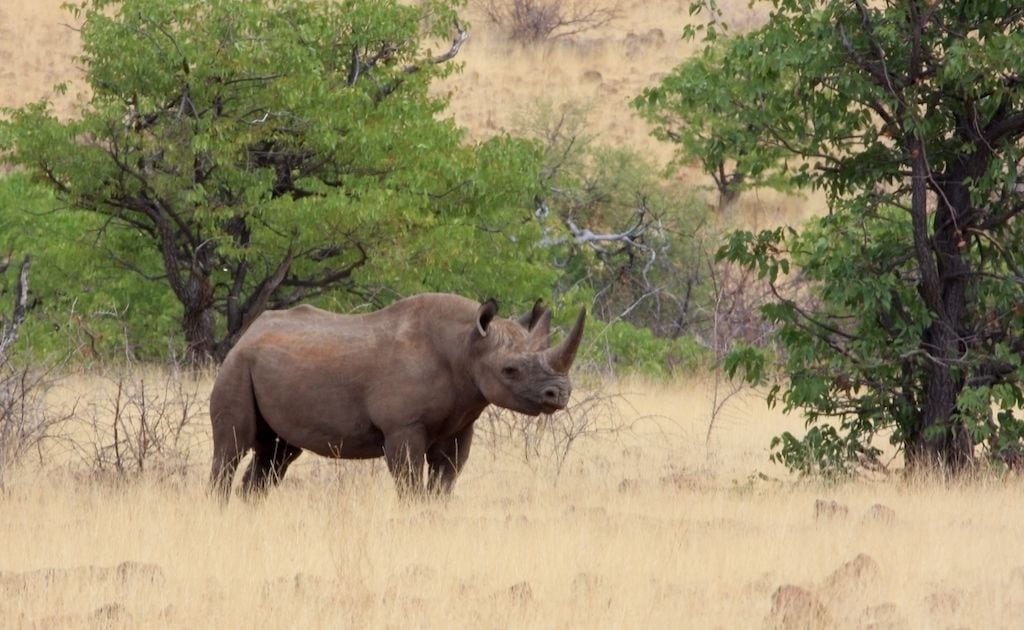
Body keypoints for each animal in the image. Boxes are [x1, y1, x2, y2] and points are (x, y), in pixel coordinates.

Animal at [209, 293, 586, 500]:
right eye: (510, 370)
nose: (560, 393)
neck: (466, 346)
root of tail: (248, 333)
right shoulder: (403, 427)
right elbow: (410, 484)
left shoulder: (459, 425)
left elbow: (444, 481)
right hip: (236, 366)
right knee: (231, 447)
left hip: (269, 366)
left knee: (277, 455)